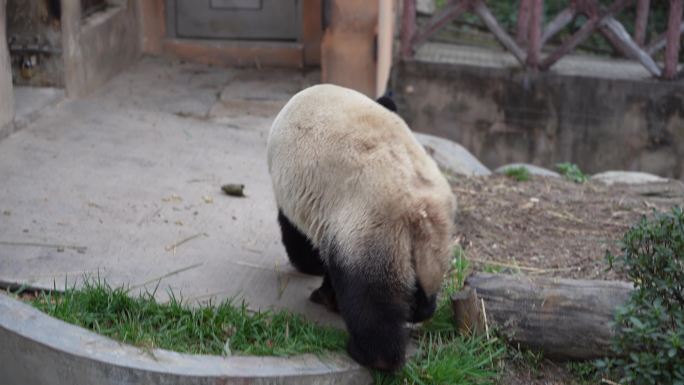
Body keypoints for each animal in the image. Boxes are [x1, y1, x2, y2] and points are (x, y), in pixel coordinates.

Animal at [266, 83, 454, 368]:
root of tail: (418, 211)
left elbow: (299, 238)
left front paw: (310, 269)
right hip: (432, 244)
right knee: (421, 290)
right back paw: (416, 309)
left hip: (371, 229)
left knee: (369, 298)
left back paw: (369, 353)